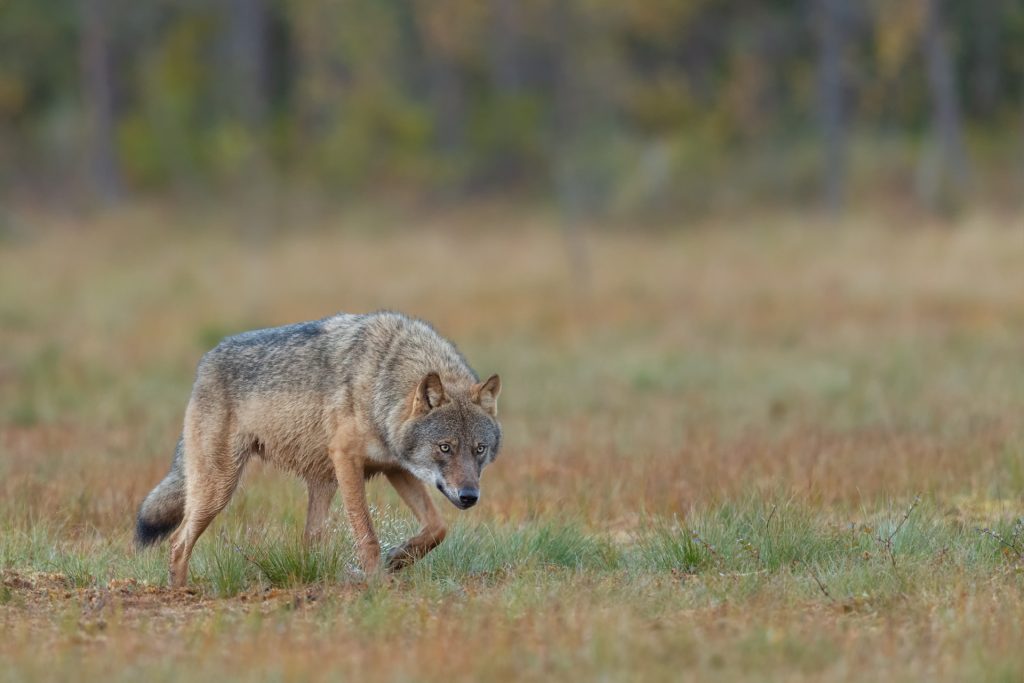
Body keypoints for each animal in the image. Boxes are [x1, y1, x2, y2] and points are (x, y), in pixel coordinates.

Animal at [134, 313, 501, 589]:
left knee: (308, 542)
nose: (469, 496)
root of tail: (205, 362)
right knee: (178, 542)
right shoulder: (347, 460)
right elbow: (366, 534)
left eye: (479, 449)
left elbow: (437, 527)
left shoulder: (394, 467)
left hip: (320, 485)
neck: (382, 380)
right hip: (219, 489)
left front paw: (399, 558)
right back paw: (180, 593)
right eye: (445, 447)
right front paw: (377, 583)